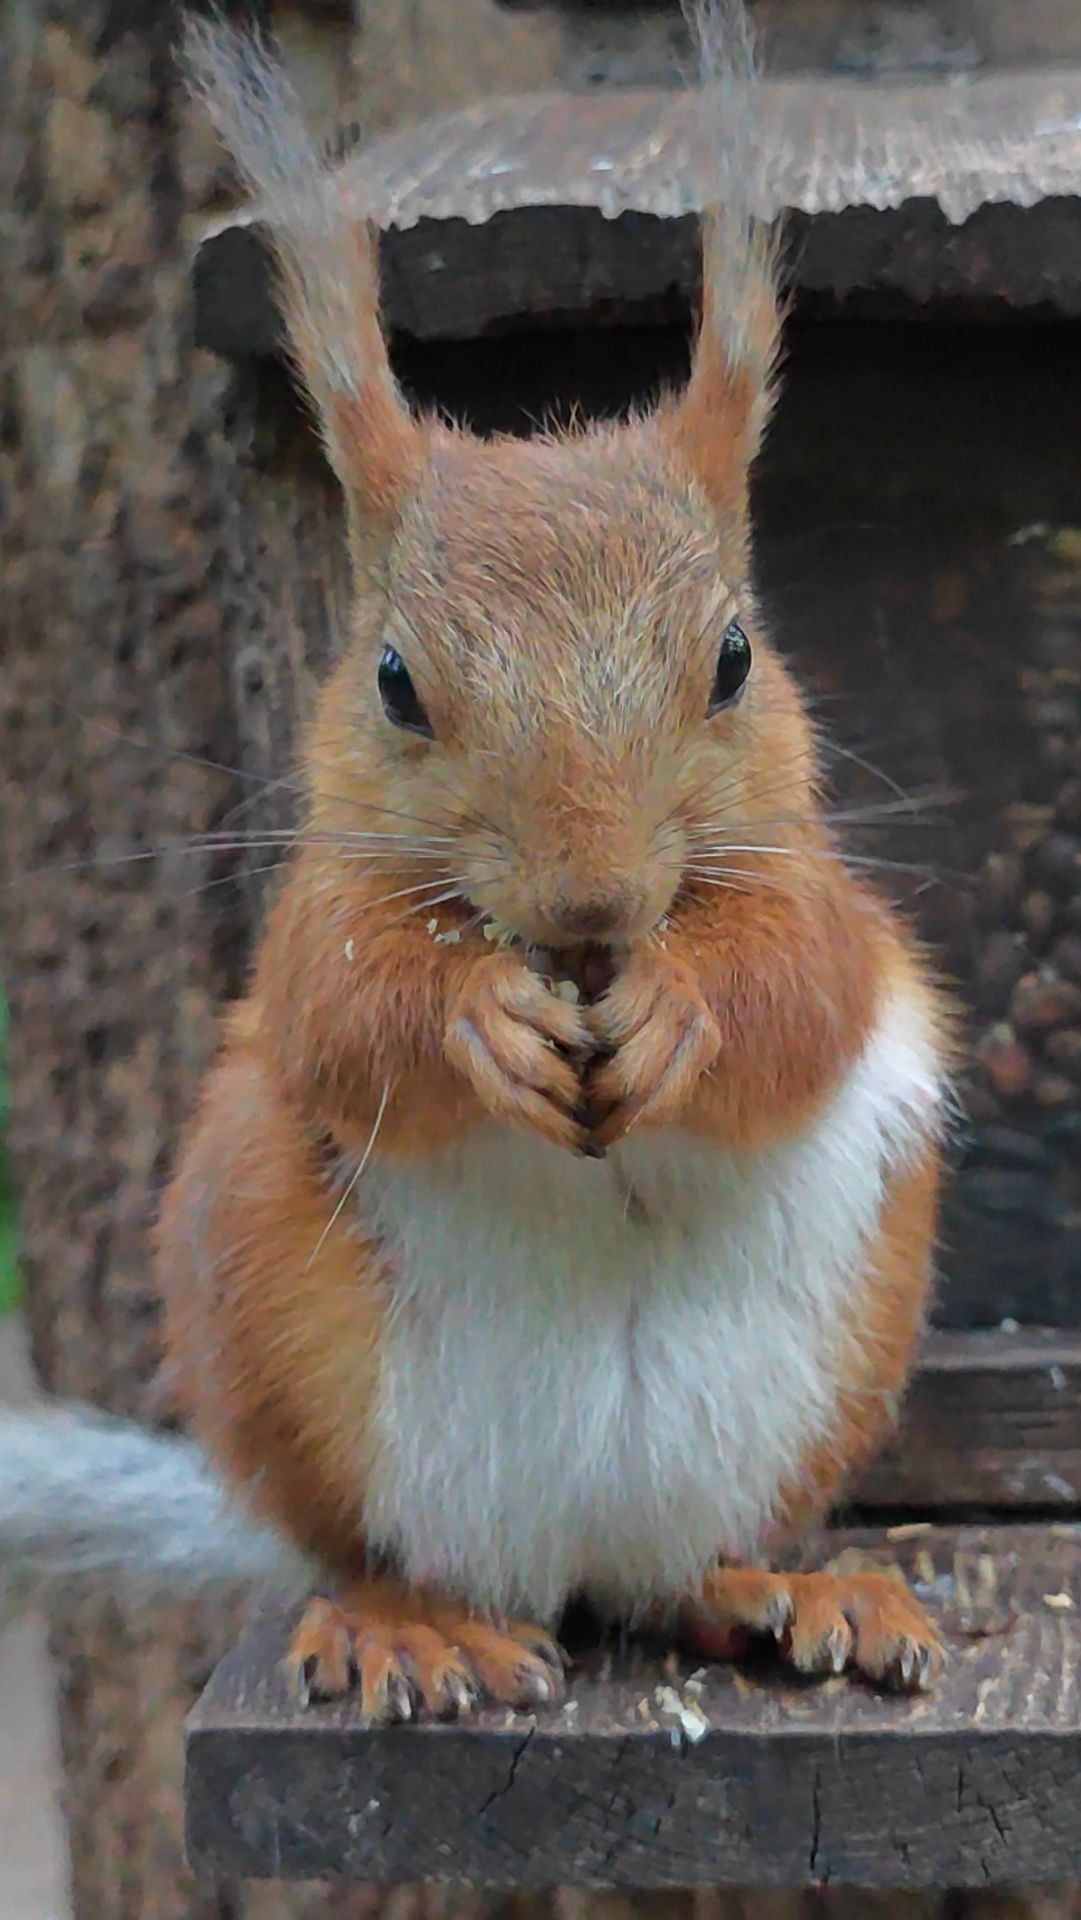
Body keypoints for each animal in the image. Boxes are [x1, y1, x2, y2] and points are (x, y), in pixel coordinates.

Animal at [0, 2, 950, 1718]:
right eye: (392, 682)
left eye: (732, 659)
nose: (589, 908)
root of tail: (572, 1557)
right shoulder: (309, 914)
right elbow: (340, 1008)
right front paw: (476, 1020)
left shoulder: (821, 888)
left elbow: (803, 987)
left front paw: (679, 1009)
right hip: (284, 1332)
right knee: (374, 1551)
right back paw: (413, 1624)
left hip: (835, 1353)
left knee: (684, 1580)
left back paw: (789, 1588)